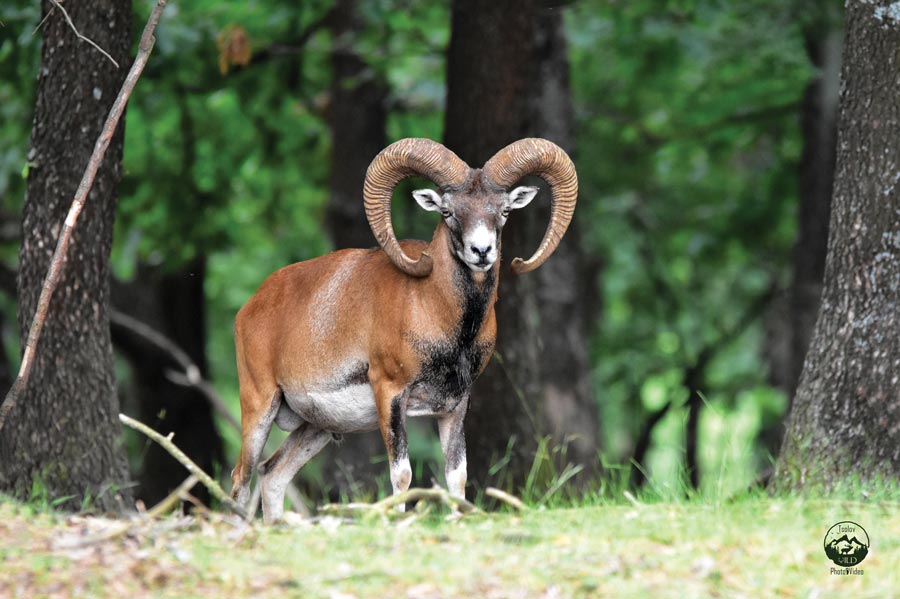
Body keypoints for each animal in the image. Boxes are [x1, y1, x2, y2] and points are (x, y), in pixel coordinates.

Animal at [231, 137, 577, 521]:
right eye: (448, 212)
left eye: (502, 211)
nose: (482, 251)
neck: (435, 310)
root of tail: (251, 307)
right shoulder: (391, 393)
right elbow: (402, 474)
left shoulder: (456, 405)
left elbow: (457, 475)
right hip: (259, 406)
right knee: (241, 479)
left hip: (316, 428)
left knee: (272, 475)